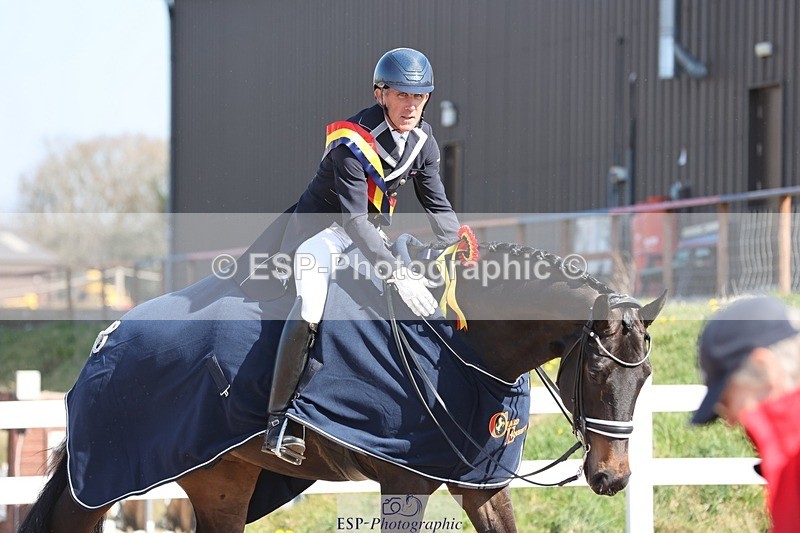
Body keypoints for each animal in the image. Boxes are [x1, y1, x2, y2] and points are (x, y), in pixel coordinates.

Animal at [20, 240, 666, 532]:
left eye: (645, 376)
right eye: (597, 371)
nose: (613, 478)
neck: (460, 348)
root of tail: (105, 341)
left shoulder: (479, 484)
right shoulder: (404, 482)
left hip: (221, 480)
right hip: (113, 475)